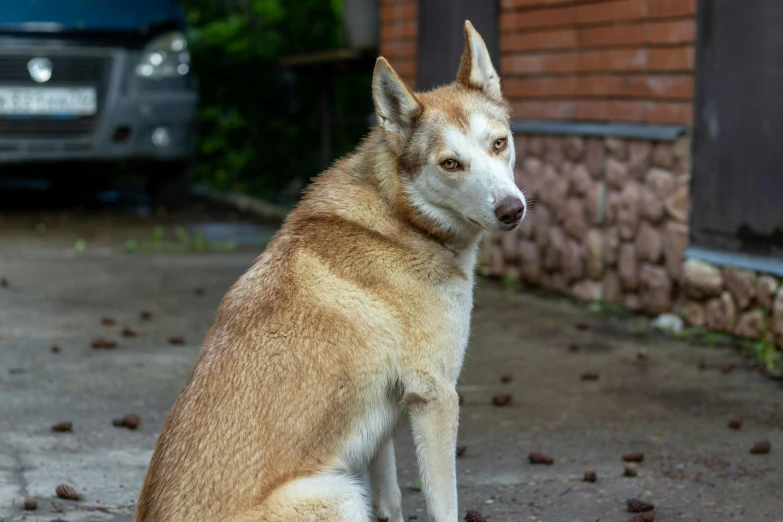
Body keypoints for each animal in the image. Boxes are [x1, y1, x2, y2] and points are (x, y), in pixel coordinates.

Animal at [135, 20, 528, 520]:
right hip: (340, 492)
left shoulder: (384, 420)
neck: (401, 216)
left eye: (499, 143)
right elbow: (443, 506)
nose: (512, 210)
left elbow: (391, 498)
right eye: (451, 164)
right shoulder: (435, 396)